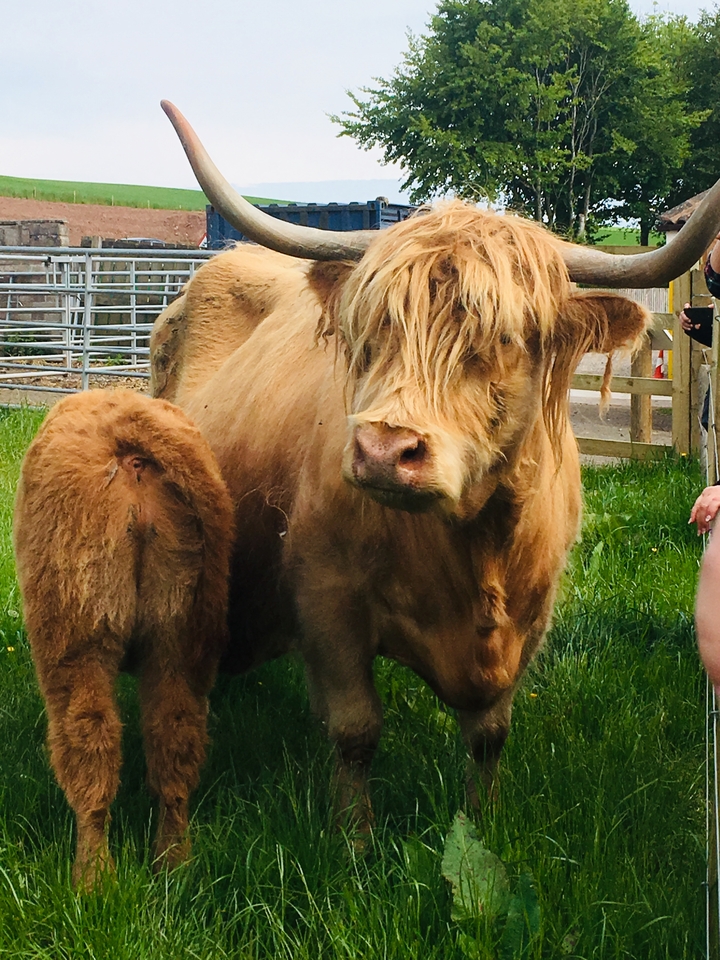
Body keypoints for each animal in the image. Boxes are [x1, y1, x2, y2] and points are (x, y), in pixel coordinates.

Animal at [13, 390, 234, 888]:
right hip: (179, 635)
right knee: (174, 737)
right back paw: (172, 863)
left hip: (77, 634)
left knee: (89, 738)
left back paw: (93, 878)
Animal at [153, 100, 720, 831]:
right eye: (371, 331)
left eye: (503, 338)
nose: (382, 451)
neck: (474, 551)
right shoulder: (327, 597)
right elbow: (356, 728)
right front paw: (354, 838)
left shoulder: (530, 619)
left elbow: (488, 737)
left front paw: (483, 820)